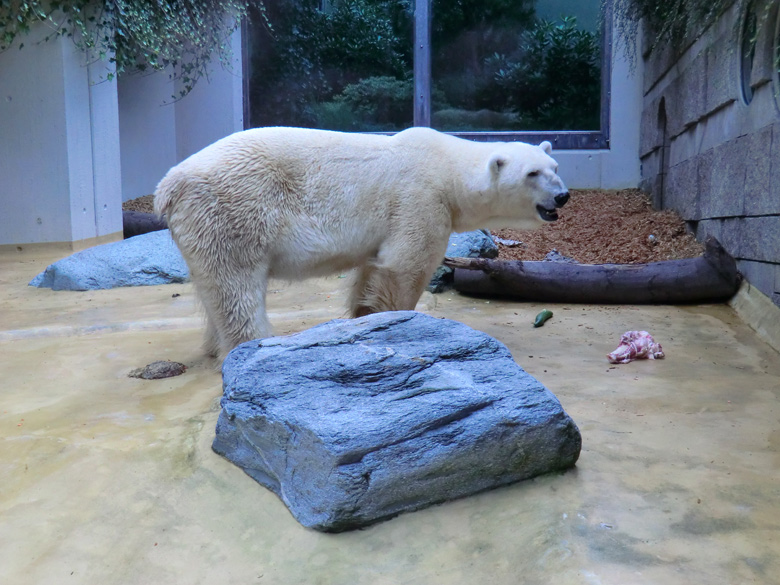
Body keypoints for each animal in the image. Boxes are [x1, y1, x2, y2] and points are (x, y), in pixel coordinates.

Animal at [154, 125, 568, 358]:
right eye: (532, 173)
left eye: (555, 168)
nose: (562, 196)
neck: (447, 168)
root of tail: (168, 186)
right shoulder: (419, 198)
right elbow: (405, 266)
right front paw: (396, 322)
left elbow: (372, 268)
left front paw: (363, 320)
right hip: (234, 210)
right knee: (236, 285)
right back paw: (251, 345)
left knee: (212, 287)